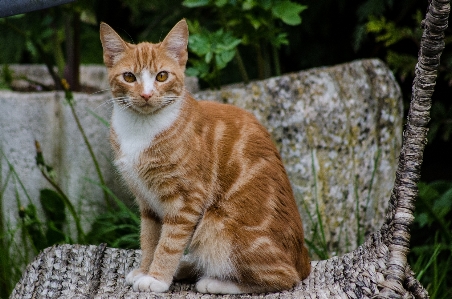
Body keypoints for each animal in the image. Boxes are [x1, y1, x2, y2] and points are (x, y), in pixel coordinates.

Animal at [99, 19, 310, 296]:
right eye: (129, 77)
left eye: (162, 76)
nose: (146, 95)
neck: (140, 129)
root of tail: (303, 259)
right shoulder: (147, 203)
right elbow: (149, 239)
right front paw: (145, 269)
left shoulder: (186, 200)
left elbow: (169, 243)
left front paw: (156, 278)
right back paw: (188, 267)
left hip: (215, 225)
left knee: (283, 277)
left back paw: (214, 281)